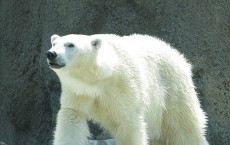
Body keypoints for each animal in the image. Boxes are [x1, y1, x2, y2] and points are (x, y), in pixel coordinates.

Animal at [46, 33, 208, 145]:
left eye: (70, 44)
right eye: (54, 43)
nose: (51, 54)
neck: (97, 77)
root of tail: (177, 54)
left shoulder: (125, 86)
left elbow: (129, 122)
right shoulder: (77, 91)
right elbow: (72, 119)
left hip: (173, 88)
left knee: (184, 126)